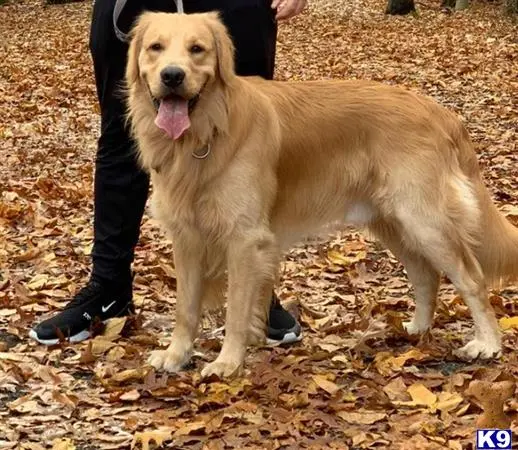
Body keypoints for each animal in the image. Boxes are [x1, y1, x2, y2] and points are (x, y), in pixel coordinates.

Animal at [127, 11, 518, 376]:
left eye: (197, 49)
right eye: (155, 48)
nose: (172, 76)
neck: (208, 132)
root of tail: (442, 113)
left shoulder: (244, 238)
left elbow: (236, 310)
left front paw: (227, 362)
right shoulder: (187, 237)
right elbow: (185, 307)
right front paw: (177, 354)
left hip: (424, 221)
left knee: (472, 279)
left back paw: (487, 344)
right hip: (394, 223)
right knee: (426, 275)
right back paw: (417, 329)